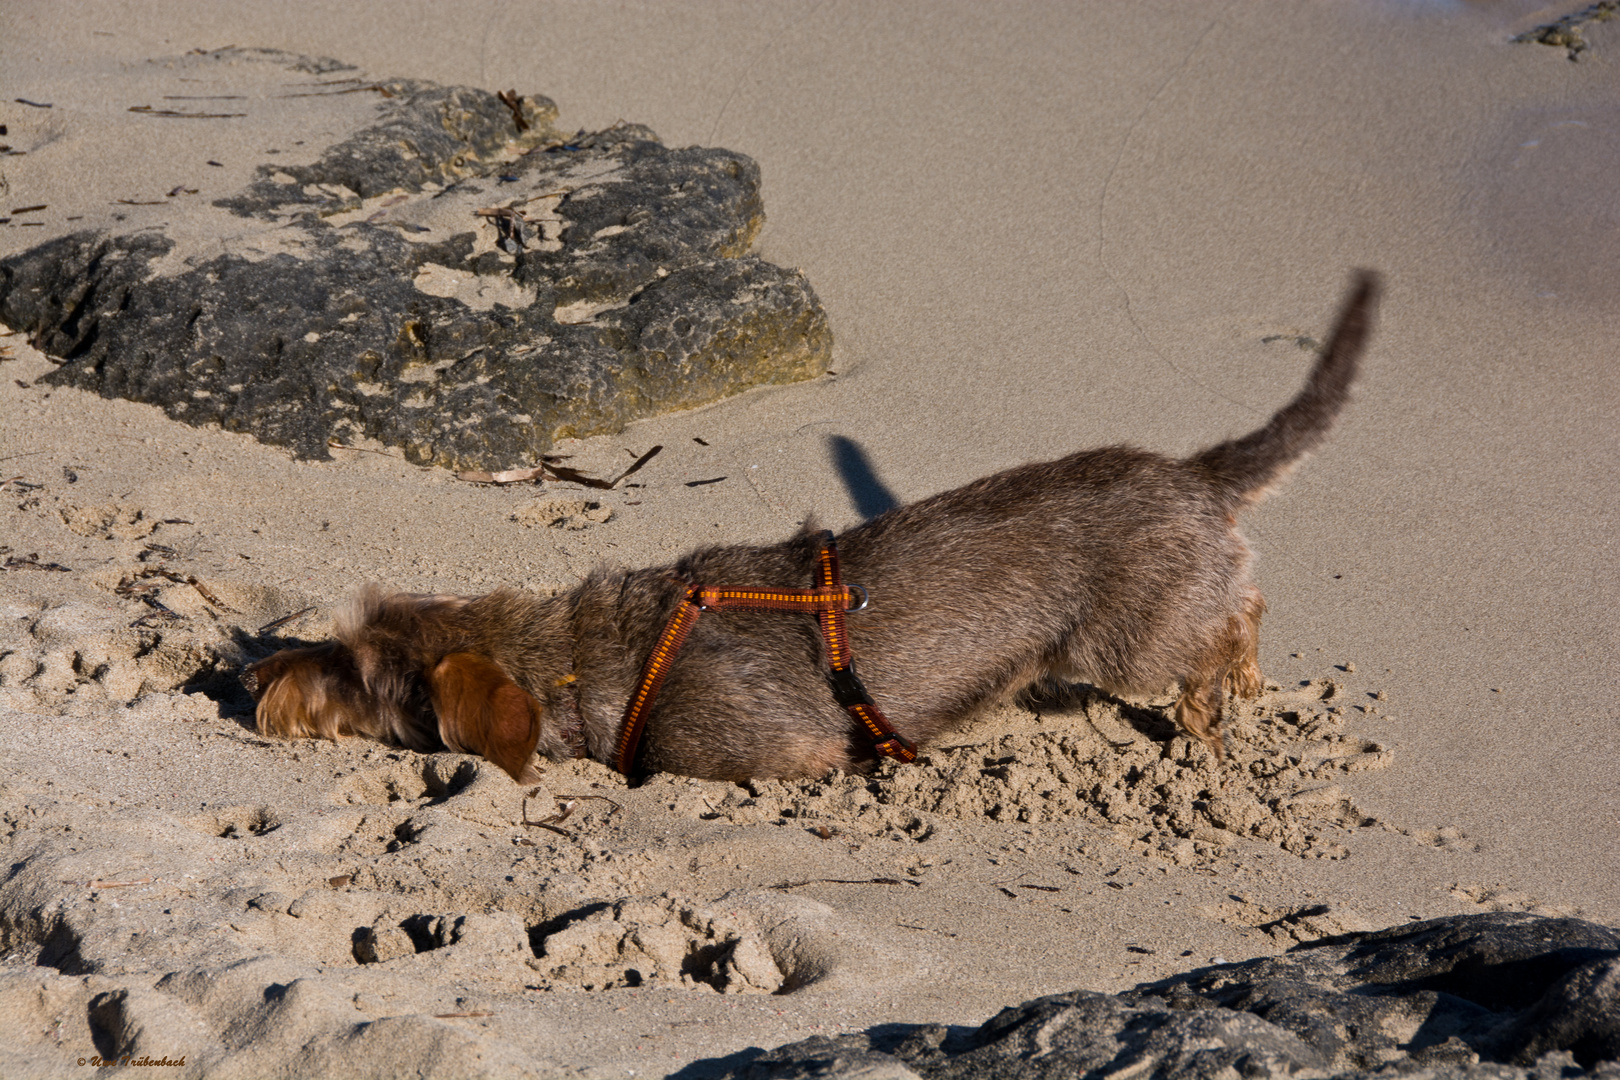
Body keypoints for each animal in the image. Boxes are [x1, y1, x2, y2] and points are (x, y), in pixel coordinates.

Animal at [243, 275, 1380, 786]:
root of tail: (1191, 473)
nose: (253, 679)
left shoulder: (776, 753)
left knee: (1220, 626)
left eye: (356, 674)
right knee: (1245, 597)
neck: (581, 657)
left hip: (1126, 646)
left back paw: (1214, 705)